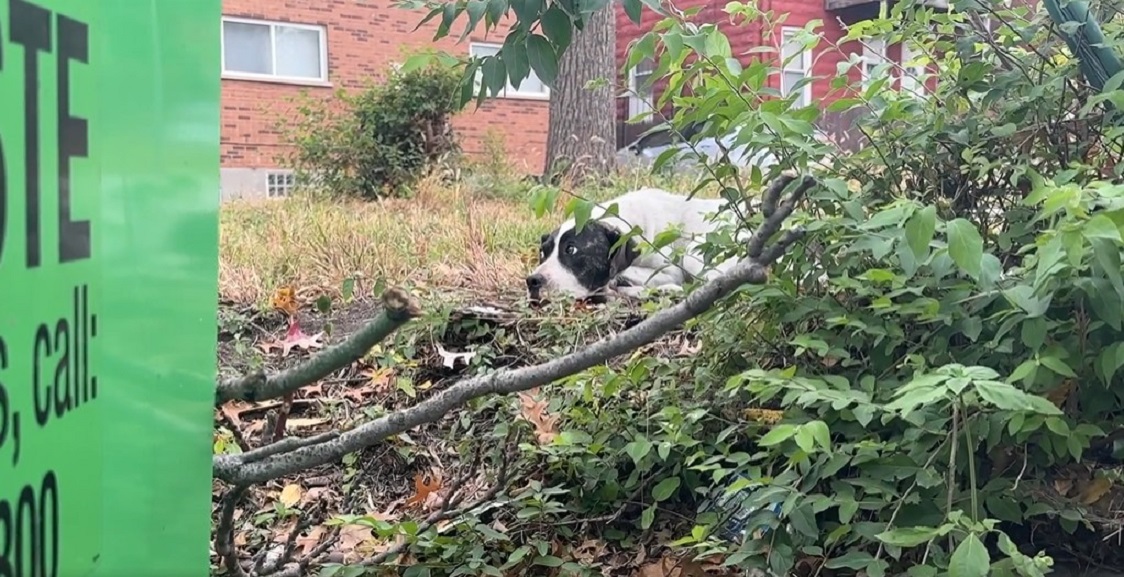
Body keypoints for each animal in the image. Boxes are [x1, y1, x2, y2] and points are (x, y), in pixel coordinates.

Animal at [526, 186, 746, 301]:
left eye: (571, 249)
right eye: (543, 253)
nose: (532, 281)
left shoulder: (670, 271)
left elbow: (624, 272)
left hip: (695, 251)